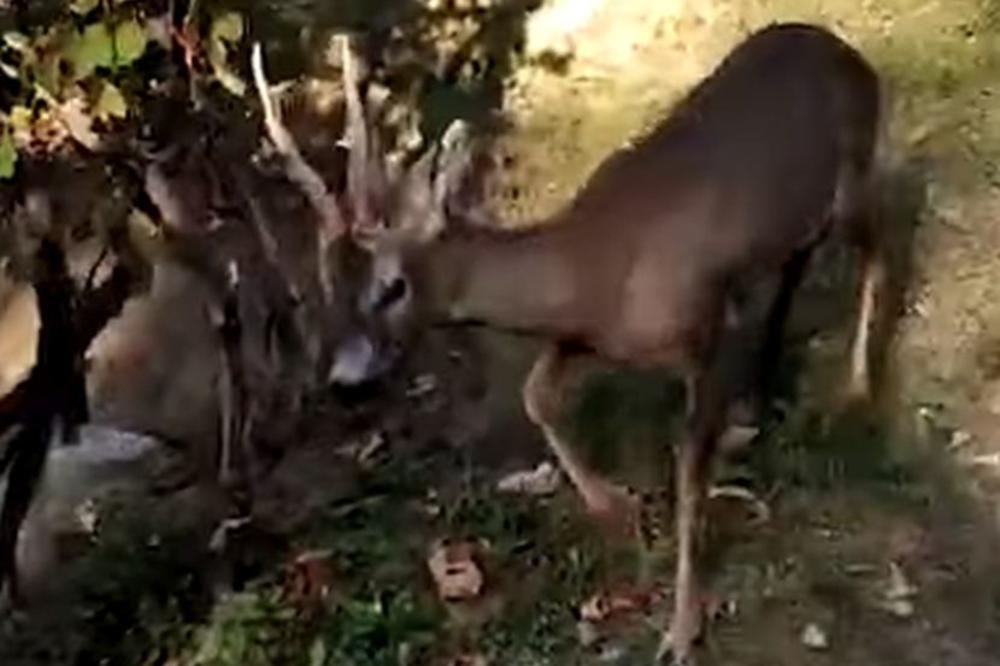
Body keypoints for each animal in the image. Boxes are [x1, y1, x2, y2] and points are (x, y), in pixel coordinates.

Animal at [330, 23, 884, 660]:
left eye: (393, 286)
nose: (342, 377)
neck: (591, 269)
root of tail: (854, 58)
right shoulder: (585, 335)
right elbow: (536, 395)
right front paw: (613, 504)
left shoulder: (706, 331)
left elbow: (689, 481)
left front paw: (681, 630)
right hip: (800, 218)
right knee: (803, 261)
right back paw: (763, 394)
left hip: (851, 179)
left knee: (883, 243)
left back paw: (856, 389)